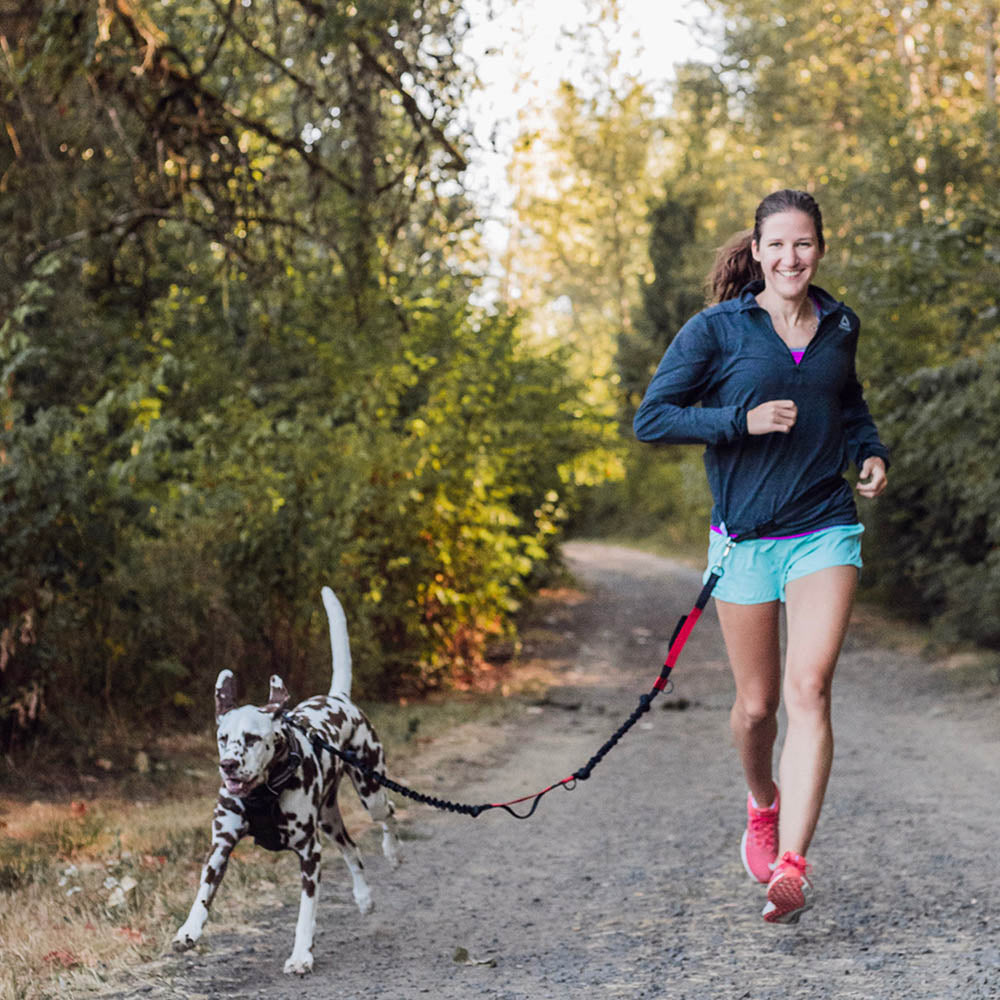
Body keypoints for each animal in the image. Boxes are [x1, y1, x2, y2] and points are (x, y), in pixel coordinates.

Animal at [173, 584, 402, 976]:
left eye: (252, 738)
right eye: (223, 737)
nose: (228, 765)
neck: (262, 794)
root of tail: (338, 697)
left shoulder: (309, 855)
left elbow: (305, 914)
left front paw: (301, 956)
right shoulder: (220, 847)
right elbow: (203, 893)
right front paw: (189, 930)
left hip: (370, 791)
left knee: (389, 813)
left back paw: (392, 851)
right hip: (328, 820)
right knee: (352, 849)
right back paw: (363, 897)